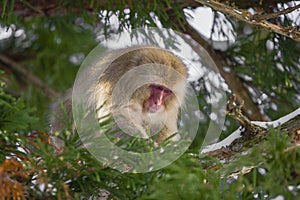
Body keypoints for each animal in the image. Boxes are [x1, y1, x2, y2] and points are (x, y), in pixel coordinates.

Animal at [50, 46, 188, 148]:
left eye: (167, 91)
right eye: (158, 87)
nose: (157, 103)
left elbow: (165, 127)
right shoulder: (118, 81)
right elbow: (114, 116)